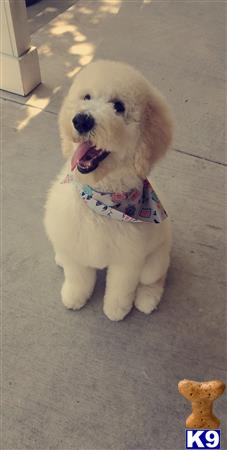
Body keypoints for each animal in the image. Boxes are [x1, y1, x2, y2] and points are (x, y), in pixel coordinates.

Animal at [44, 60, 172, 320]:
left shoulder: (128, 260)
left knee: (155, 279)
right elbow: (78, 276)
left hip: (156, 260)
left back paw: (147, 299)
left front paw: (116, 309)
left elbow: (121, 287)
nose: (82, 120)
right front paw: (75, 296)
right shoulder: (76, 243)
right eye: (86, 97)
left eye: (118, 106)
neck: (101, 202)